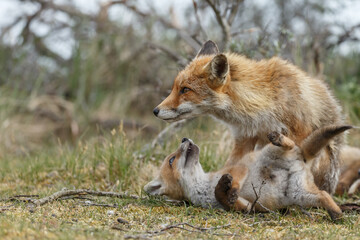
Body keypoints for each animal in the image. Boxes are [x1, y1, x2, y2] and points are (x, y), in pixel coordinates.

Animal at [153, 40, 344, 194]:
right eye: (175, 88)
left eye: (185, 90)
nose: (155, 110)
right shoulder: (244, 137)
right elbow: (230, 167)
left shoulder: (299, 130)